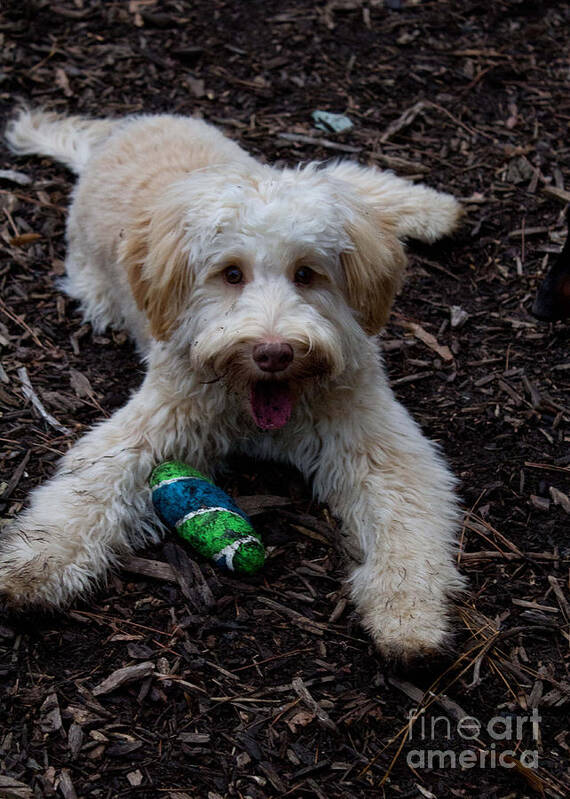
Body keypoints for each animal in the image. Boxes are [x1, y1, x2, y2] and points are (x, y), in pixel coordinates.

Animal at [2, 112, 464, 664]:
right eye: (231, 273)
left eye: (306, 273)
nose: (274, 352)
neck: (258, 404)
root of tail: (121, 132)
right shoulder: (155, 420)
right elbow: (88, 489)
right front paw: (36, 563)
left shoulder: (376, 439)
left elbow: (406, 513)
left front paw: (409, 613)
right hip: (95, 286)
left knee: (349, 176)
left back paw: (433, 209)